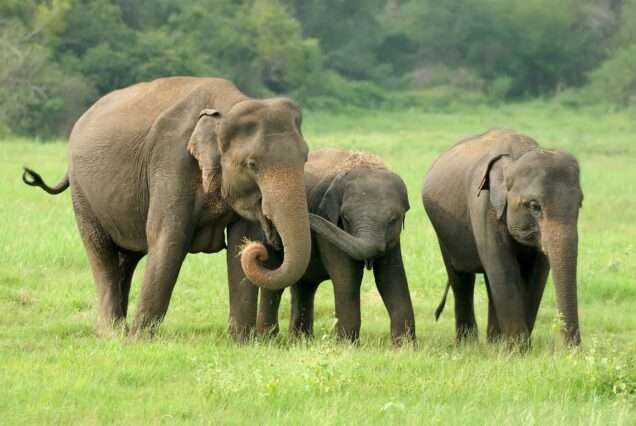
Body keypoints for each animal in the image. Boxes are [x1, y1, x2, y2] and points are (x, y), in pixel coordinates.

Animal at [23, 76, 312, 336]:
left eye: (305, 157)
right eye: (252, 164)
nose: (268, 248)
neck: (228, 104)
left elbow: (241, 241)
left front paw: (240, 341)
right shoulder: (171, 161)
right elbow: (168, 238)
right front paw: (140, 339)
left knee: (127, 258)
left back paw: (119, 328)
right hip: (83, 195)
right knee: (101, 253)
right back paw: (112, 332)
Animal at [226, 149, 414, 342]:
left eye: (393, 219)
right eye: (346, 218)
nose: (307, 217)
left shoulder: (393, 239)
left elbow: (390, 277)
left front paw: (405, 346)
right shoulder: (331, 226)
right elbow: (347, 277)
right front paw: (347, 345)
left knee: (304, 286)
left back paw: (300, 341)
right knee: (275, 281)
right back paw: (270, 339)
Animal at [424, 129, 584, 346]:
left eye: (580, 204)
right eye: (534, 206)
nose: (572, 350)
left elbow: (537, 275)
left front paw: (514, 346)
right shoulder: (484, 208)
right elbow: (504, 270)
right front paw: (518, 349)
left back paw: (493, 343)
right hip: (444, 234)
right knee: (460, 277)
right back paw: (468, 344)